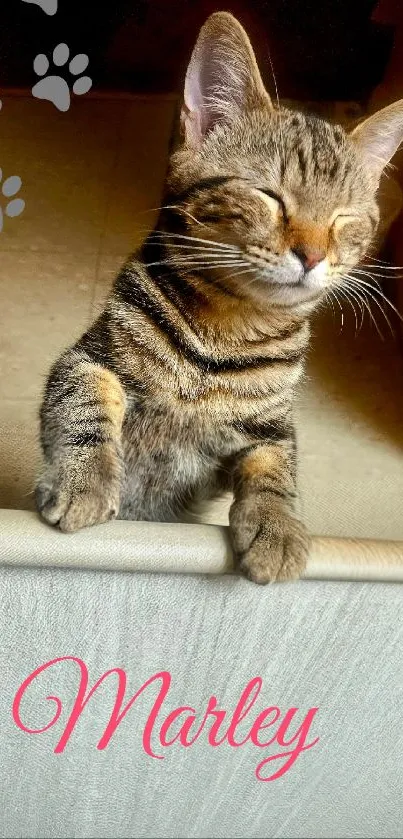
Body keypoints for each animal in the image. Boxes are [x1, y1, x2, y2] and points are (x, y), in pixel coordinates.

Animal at [35, 11, 403, 584]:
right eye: (269, 196)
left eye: (346, 219)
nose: (314, 255)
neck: (226, 333)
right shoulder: (87, 358)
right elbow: (85, 399)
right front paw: (84, 480)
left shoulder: (272, 428)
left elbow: (275, 469)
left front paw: (276, 526)